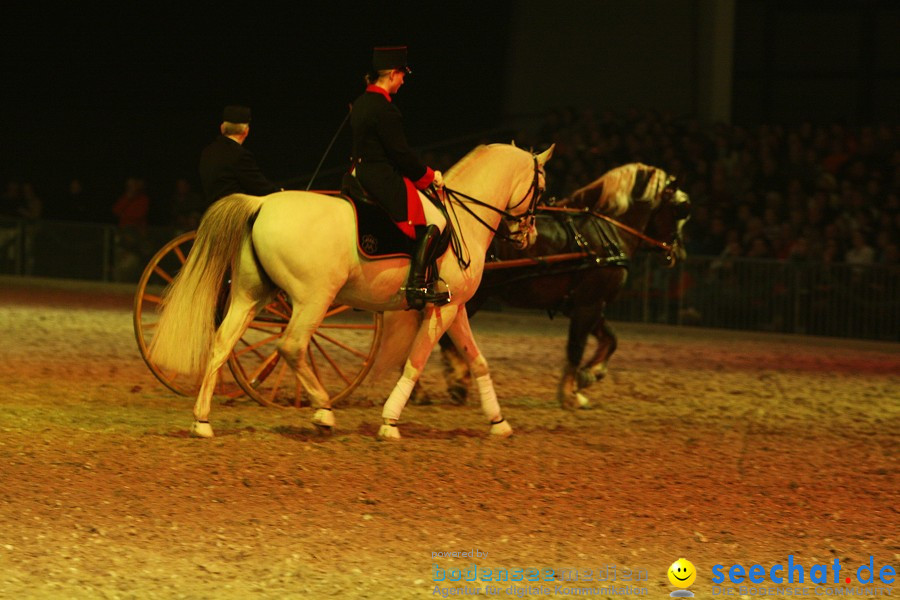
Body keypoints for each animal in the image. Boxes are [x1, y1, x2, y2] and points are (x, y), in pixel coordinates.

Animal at [148, 143, 552, 438]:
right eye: (542, 188)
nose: (529, 236)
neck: (461, 219)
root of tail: (261, 203)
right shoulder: (442, 309)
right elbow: (416, 361)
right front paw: (389, 421)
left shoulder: (458, 306)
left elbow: (477, 359)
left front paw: (499, 422)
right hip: (313, 299)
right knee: (291, 346)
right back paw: (324, 412)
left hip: (251, 294)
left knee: (222, 343)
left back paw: (202, 420)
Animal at [428, 163, 688, 408]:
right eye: (681, 210)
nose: (678, 253)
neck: (608, 231)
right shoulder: (589, 303)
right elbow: (576, 347)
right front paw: (571, 394)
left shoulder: (582, 304)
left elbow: (610, 340)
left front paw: (589, 375)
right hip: (472, 297)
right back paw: (456, 382)